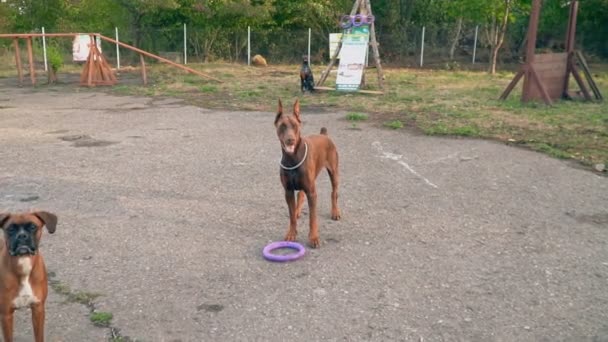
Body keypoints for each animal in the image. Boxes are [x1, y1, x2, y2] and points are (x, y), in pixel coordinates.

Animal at [0, 211, 57, 342]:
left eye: (32, 227)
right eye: (10, 229)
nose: (22, 236)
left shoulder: (38, 309)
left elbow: (39, 337)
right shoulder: (6, 315)